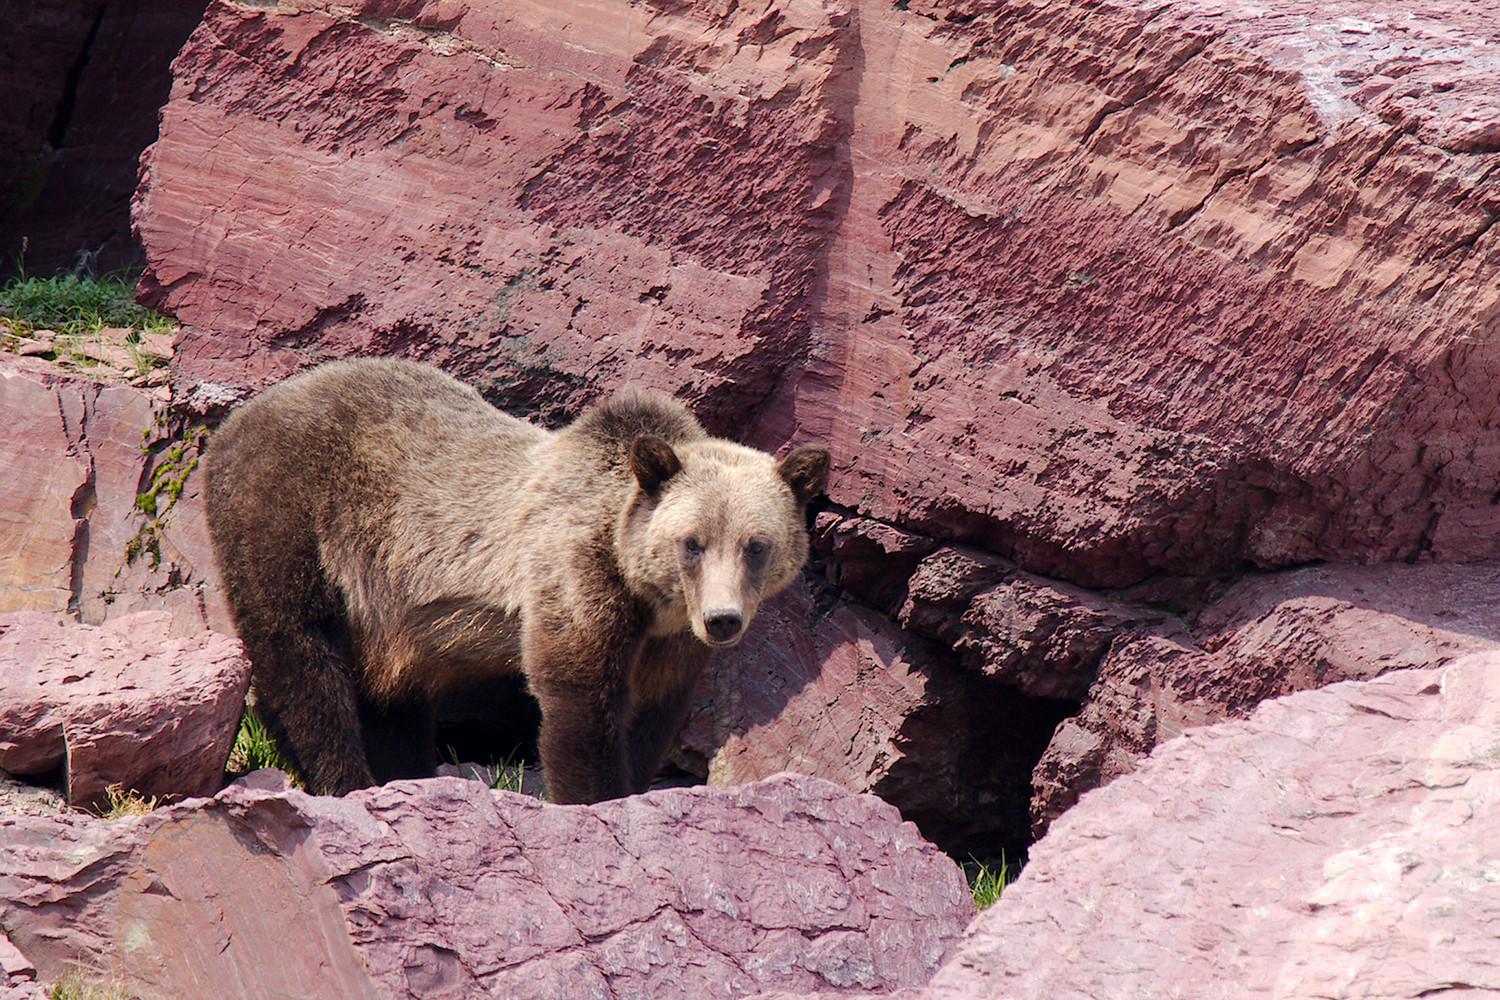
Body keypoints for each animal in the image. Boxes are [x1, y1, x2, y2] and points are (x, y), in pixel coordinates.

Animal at [203, 357, 829, 803]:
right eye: (692, 542)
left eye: (756, 546)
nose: (722, 620)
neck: (646, 595)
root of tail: (231, 425)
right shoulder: (574, 571)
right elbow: (579, 699)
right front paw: (595, 797)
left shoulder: (668, 639)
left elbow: (654, 711)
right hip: (291, 516)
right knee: (302, 655)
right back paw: (344, 776)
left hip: (380, 605)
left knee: (387, 695)